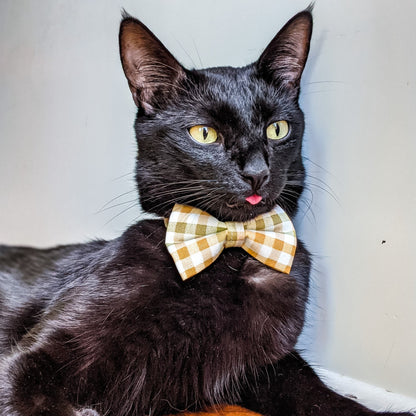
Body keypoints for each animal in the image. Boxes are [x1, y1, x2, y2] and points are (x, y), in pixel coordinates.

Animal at [0, 8, 412, 416]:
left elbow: (318, 394)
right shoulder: (29, 367)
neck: (227, 253)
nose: (257, 172)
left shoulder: (268, 366)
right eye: (204, 134)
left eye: (277, 129)